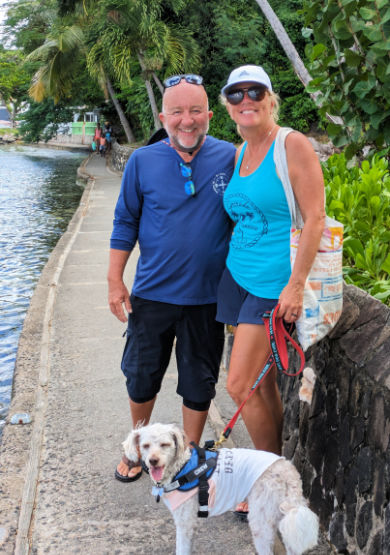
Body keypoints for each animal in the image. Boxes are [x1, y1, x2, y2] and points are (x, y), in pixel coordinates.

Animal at [123, 424, 318, 552]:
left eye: (165, 445)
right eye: (145, 446)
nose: (153, 461)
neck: (181, 468)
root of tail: (289, 472)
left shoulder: (184, 523)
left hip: (260, 523)